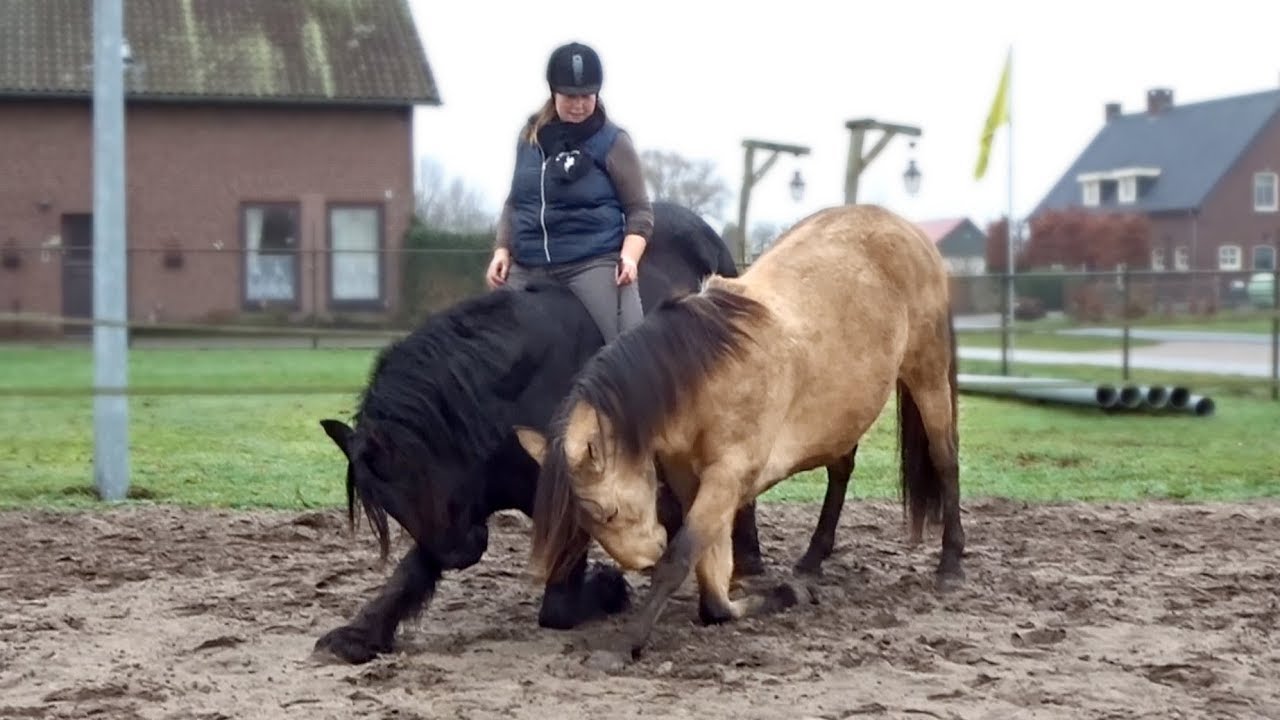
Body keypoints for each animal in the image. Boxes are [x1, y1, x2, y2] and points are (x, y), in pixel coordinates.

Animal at [314, 202, 855, 664]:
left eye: (411, 480)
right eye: (388, 500)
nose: (460, 553)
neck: (506, 398)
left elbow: (556, 608)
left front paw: (608, 588)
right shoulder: (469, 502)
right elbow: (412, 571)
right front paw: (359, 633)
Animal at [517, 203, 964, 658]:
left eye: (607, 512)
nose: (645, 558)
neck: (705, 372)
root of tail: (904, 227)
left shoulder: (726, 478)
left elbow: (680, 560)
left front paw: (626, 643)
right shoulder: (693, 482)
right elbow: (713, 589)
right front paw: (783, 594)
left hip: (928, 376)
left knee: (945, 459)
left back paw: (951, 562)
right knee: (841, 472)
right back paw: (812, 560)